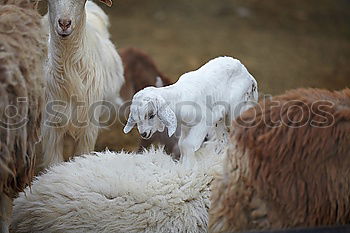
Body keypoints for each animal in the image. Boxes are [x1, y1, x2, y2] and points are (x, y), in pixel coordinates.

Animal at [124, 56, 258, 166]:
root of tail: (249, 76)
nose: (143, 134)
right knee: (223, 138)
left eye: (151, 115)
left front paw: (189, 168)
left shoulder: (204, 121)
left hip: (237, 107)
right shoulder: (186, 126)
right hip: (219, 116)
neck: (179, 96)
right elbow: (182, 144)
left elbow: (188, 144)